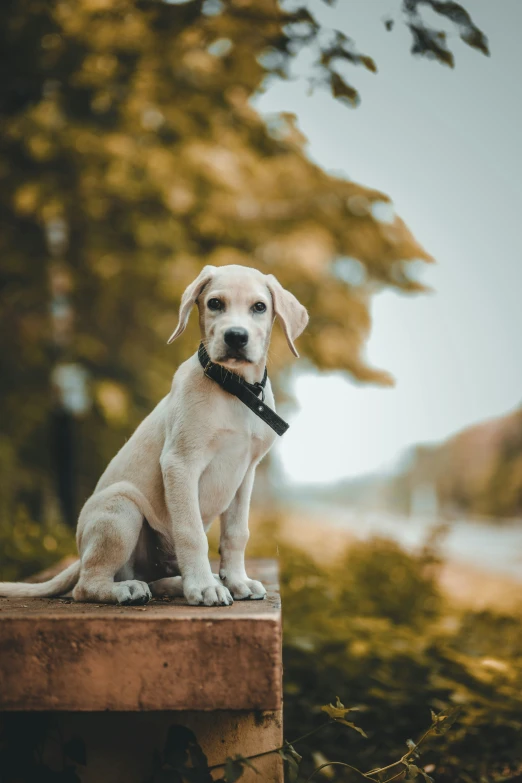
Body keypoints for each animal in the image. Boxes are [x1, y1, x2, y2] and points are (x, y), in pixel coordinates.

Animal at [0, 266, 306, 608]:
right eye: (215, 303)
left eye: (259, 307)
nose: (236, 336)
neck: (234, 390)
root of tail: (79, 555)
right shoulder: (181, 463)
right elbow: (191, 532)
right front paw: (204, 588)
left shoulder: (245, 472)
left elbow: (236, 534)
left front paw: (237, 581)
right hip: (122, 506)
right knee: (86, 585)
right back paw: (129, 589)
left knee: (150, 579)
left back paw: (178, 584)